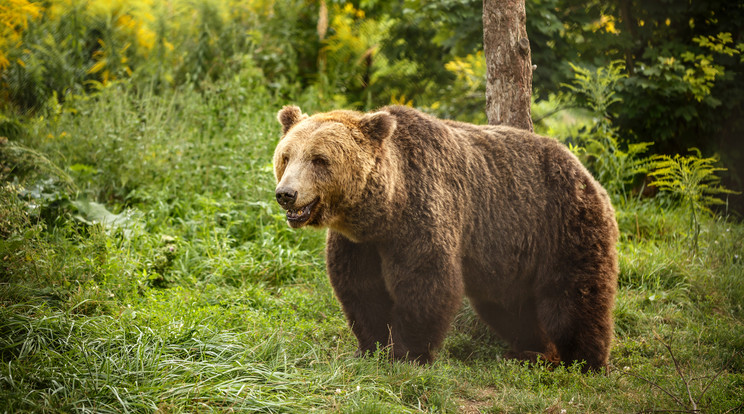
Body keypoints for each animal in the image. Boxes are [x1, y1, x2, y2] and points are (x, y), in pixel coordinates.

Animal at [270, 105, 620, 370]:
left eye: (320, 159)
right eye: (286, 156)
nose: (286, 194)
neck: (384, 209)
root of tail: (586, 171)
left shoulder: (421, 214)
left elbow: (426, 282)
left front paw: (407, 354)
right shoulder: (359, 243)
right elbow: (361, 289)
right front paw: (370, 348)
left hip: (561, 224)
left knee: (573, 298)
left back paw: (585, 361)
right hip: (510, 254)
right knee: (509, 306)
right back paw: (529, 351)